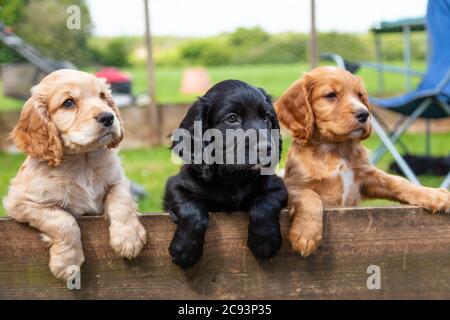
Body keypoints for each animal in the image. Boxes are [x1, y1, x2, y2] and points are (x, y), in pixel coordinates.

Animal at [3, 69, 148, 278]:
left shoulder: (118, 180)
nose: (108, 117)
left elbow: (122, 201)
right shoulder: (22, 202)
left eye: (102, 96)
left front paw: (129, 239)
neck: (83, 160)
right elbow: (64, 221)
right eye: (68, 103)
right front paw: (67, 263)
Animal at [163, 79, 286, 268]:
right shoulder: (175, 186)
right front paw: (185, 249)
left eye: (266, 117)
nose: (267, 148)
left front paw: (265, 241)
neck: (233, 176)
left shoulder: (278, 187)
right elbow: (193, 208)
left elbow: (265, 202)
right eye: (232, 118)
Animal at [276, 67, 448, 258]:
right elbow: (309, 195)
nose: (364, 114)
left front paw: (434, 194)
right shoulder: (292, 186)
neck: (336, 149)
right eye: (331, 95)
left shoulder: (366, 178)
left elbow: (399, 181)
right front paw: (306, 235)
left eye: (360, 95)